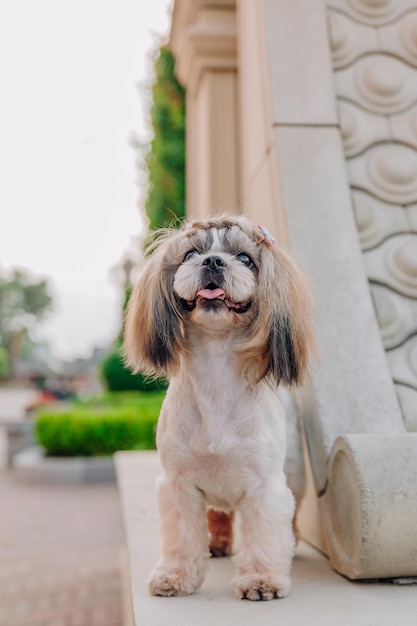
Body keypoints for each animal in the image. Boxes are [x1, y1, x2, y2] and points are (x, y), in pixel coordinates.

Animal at [122, 213, 312, 600]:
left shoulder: (266, 487)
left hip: (295, 476)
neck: (216, 373)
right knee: (217, 514)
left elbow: (265, 535)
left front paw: (262, 579)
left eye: (245, 259)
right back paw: (217, 542)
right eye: (191, 253)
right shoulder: (178, 484)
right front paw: (175, 575)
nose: (213, 261)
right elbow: (182, 538)